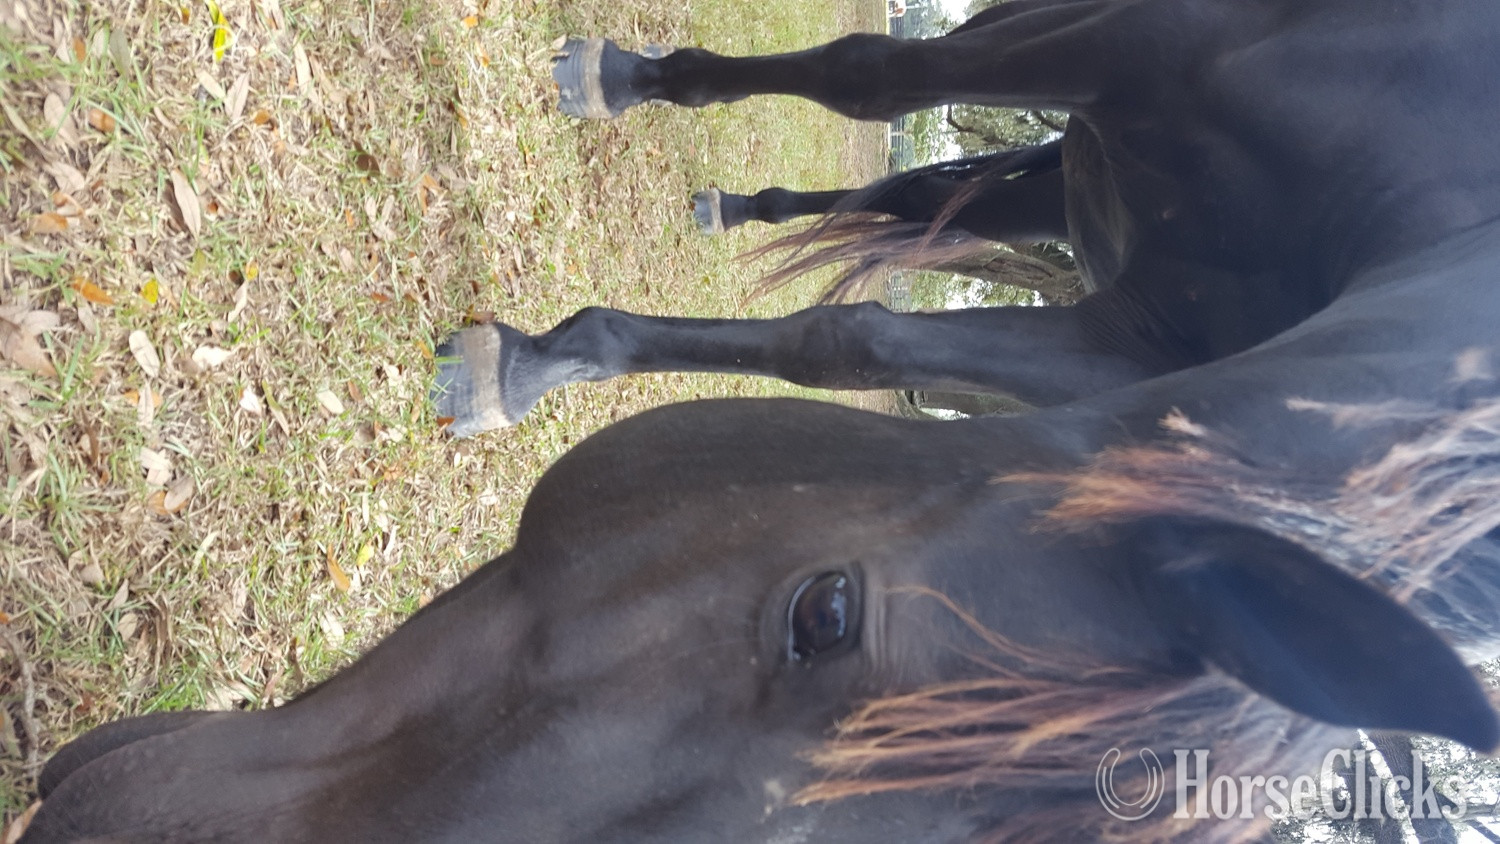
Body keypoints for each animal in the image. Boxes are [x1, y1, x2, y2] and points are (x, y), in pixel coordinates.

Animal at [20, 0, 1500, 841]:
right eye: (825, 614)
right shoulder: (1136, 55)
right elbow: (866, 115)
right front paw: (532, 360)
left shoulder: (1110, 353)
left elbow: (859, 337)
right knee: (893, 147)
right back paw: (631, 92)